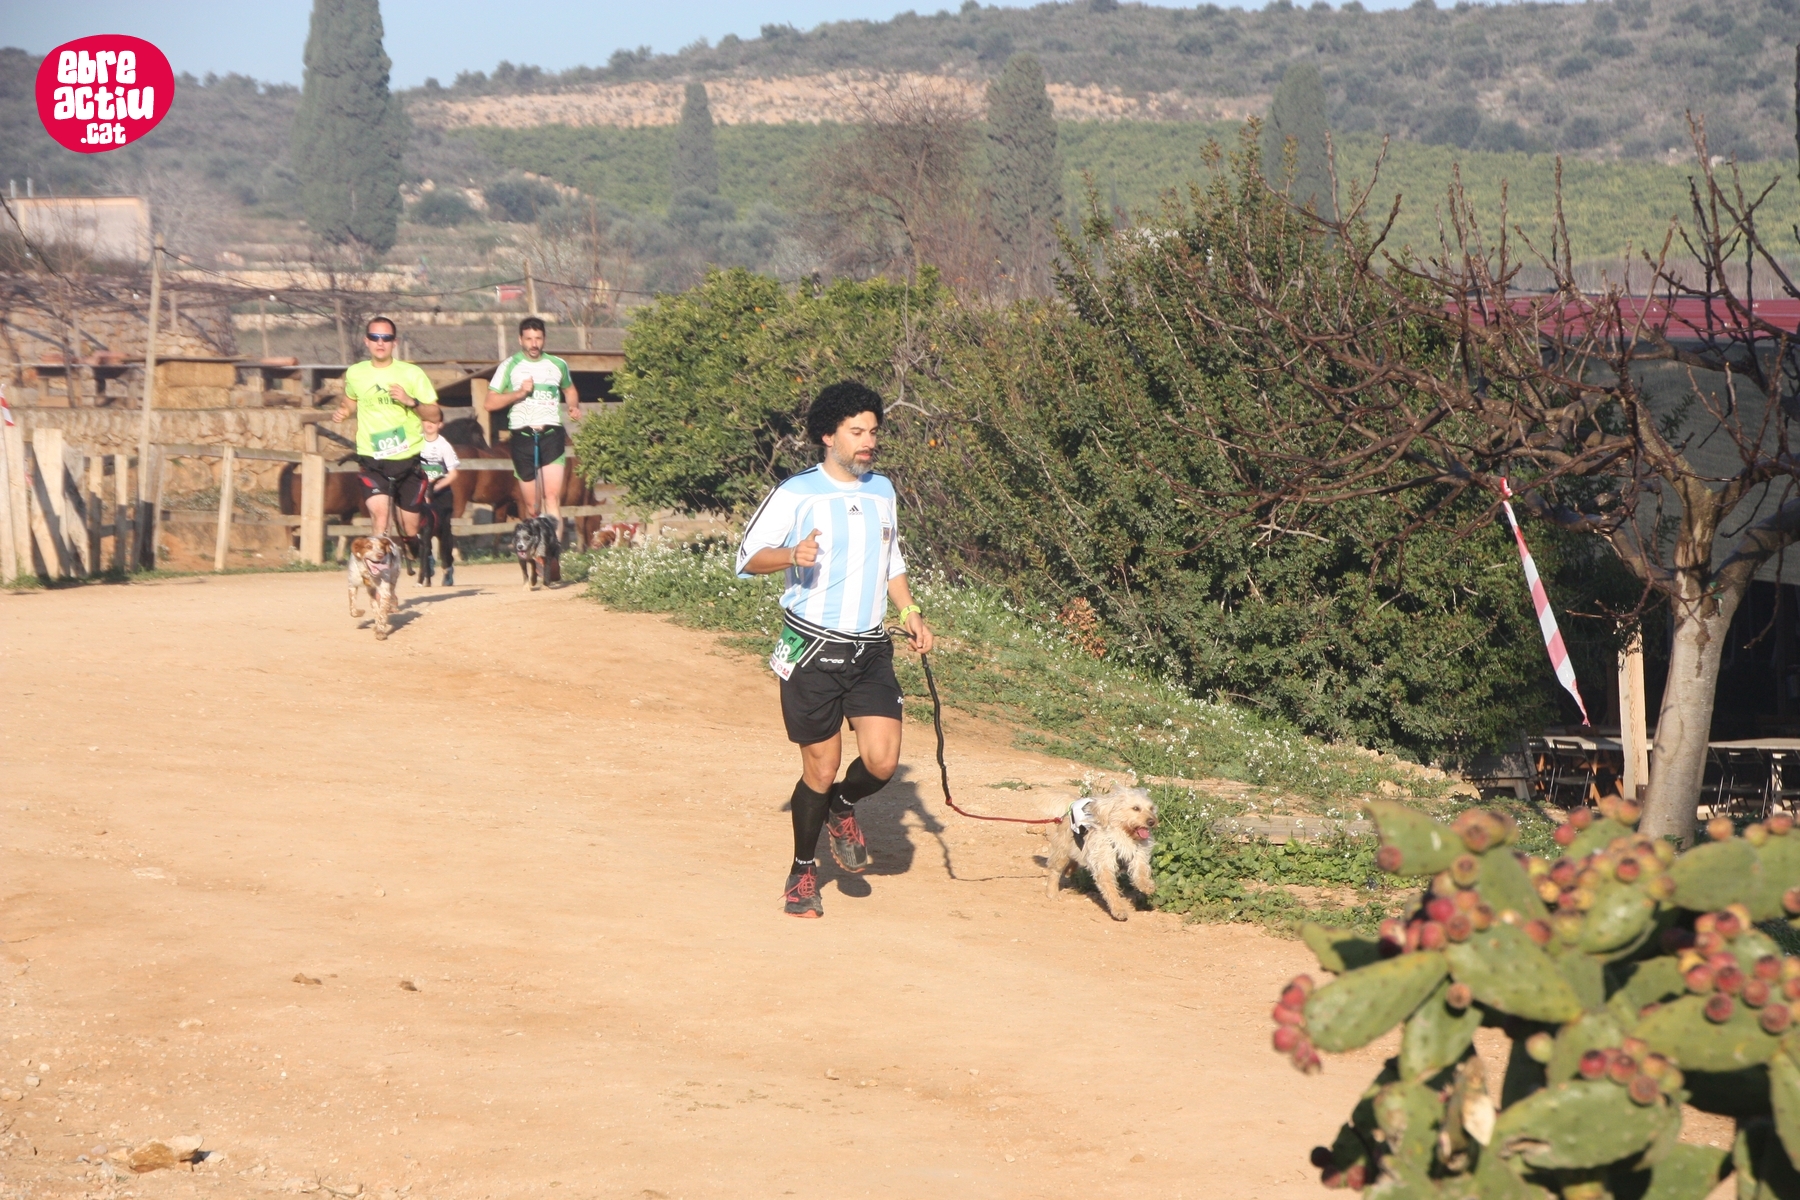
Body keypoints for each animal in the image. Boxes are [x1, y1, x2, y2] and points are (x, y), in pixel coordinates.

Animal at [1045, 787, 1158, 920]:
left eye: (1151, 808)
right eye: (1136, 808)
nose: (1152, 821)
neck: (1124, 836)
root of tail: (1072, 804)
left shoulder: (1138, 856)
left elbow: (1141, 872)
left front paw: (1146, 886)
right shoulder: (1104, 865)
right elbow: (1111, 890)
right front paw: (1118, 910)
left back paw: (1069, 871)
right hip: (1062, 850)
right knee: (1055, 871)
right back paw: (1052, 892)